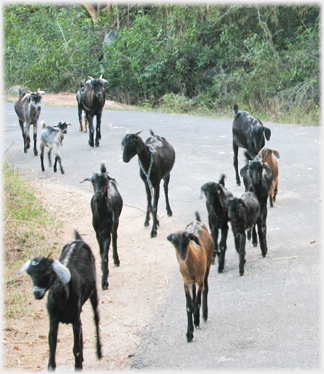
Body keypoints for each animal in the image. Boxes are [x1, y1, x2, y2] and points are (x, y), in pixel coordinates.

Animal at [16, 231, 102, 372]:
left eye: (47, 270)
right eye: (30, 273)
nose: (37, 293)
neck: (62, 297)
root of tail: (78, 241)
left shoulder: (74, 320)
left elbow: (76, 349)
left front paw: (78, 365)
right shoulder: (53, 320)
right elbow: (52, 352)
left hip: (93, 291)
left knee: (96, 317)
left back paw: (99, 352)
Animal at [167, 213, 215, 342]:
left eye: (188, 240)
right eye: (174, 242)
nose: (182, 256)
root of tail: (196, 221)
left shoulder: (199, 280)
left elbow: (197, 301)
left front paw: (196, 321)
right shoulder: (187, 283)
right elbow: (189, 306)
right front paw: (189, 332)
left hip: (207, 269)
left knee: (205, 290)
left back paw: (204, 314)